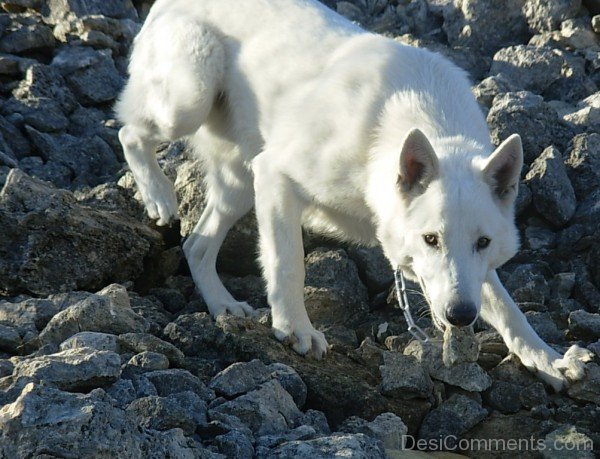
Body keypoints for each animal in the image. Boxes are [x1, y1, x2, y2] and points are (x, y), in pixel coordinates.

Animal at [115, 0, 592, 392]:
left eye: (483, 243)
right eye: (430, 239)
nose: (460, 317)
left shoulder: (473, 277)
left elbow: (509, 309)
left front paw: (547, 359)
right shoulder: (276, 174)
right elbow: (288, 263)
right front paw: (296, 328)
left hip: (237, 182)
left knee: (196, 246)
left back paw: (223, 306)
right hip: (188, 104)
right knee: (128, 132)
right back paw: (158, 194)